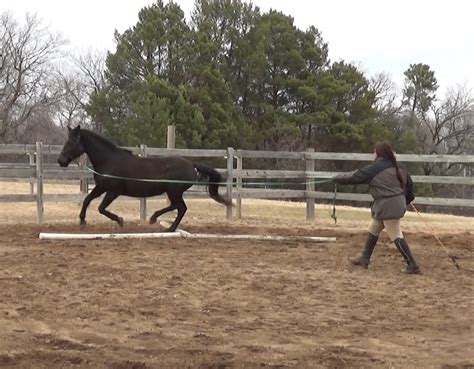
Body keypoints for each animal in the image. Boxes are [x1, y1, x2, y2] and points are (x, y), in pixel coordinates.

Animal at [57, 126, 231, 230]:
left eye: (71, 142)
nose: (61, 161)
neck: (109, 160)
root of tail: (191, 163)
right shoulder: (101, 187)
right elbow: (87, 200)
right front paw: (82, 221)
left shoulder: (113, 191)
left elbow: (101, 208)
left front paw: (120, 220)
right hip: (173, 192)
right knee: (178, 207)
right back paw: (162, 223)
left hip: (174, 191)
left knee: (180, 207)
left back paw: (164, 225)